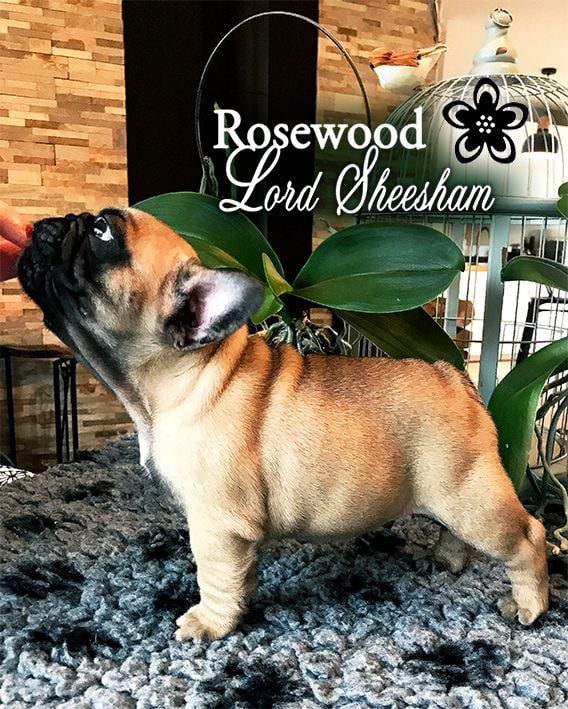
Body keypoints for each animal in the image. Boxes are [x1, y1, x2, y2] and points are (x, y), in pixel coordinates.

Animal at [18, 207, 549, 641]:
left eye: (102, 232)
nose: (47, 225)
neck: (188, 373)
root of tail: (452, 375)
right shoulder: (234, 533)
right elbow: (238, 575)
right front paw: (241, 603)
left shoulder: (215, 523)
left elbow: (213, 575)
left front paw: (210, 623)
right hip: (456, 497)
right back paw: (448, 560)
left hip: (470, 497)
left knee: (528, 537)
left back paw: (529, 607)